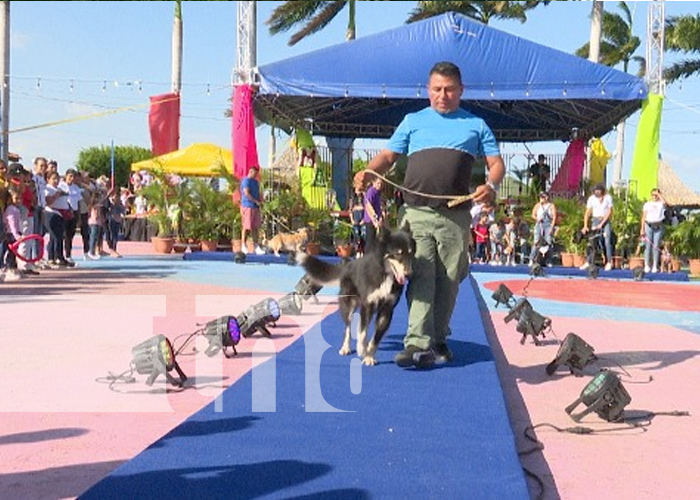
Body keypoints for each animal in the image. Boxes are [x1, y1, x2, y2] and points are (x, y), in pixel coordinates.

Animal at [296, 225, 416, 366]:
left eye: (411, 253)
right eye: (398, 253)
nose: (409, 274)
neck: (385, 274)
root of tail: (347, 264)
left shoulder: (387, 310)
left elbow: (376, 337)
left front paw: (369, 356)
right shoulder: (367, 305)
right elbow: (362, 332)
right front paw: (362, 349)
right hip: (349, 305)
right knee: (348, 327)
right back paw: (345, 347)